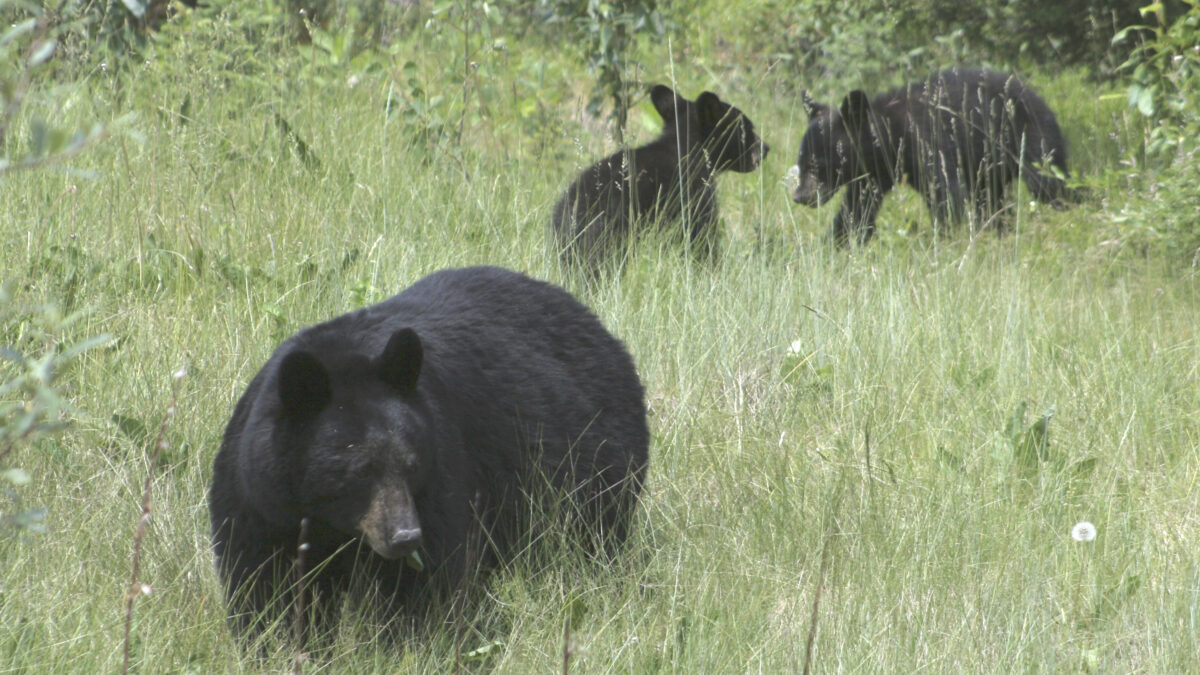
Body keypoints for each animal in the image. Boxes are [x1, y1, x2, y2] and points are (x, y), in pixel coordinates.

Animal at [211, 263, 652, 634]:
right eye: (359, 470)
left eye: (411, 463)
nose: (405, 536)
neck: (330, 524)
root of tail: (595, 324)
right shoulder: (260, 501)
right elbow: (266, 589)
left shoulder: (439, 477)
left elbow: (422, 585)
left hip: (594, 471)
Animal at [792, 67, 1075, 243]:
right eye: (801, 161)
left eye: (818, 165)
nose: (800, 196)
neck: (891, 138)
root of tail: (1036, 95)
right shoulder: (873, 173)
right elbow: (857, 210)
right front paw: (834, 244)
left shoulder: (930, 143)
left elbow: (947, 196)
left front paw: (939, 241)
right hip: (989, 169)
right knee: (991, 202)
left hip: (1033, 136)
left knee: (1048, 186)